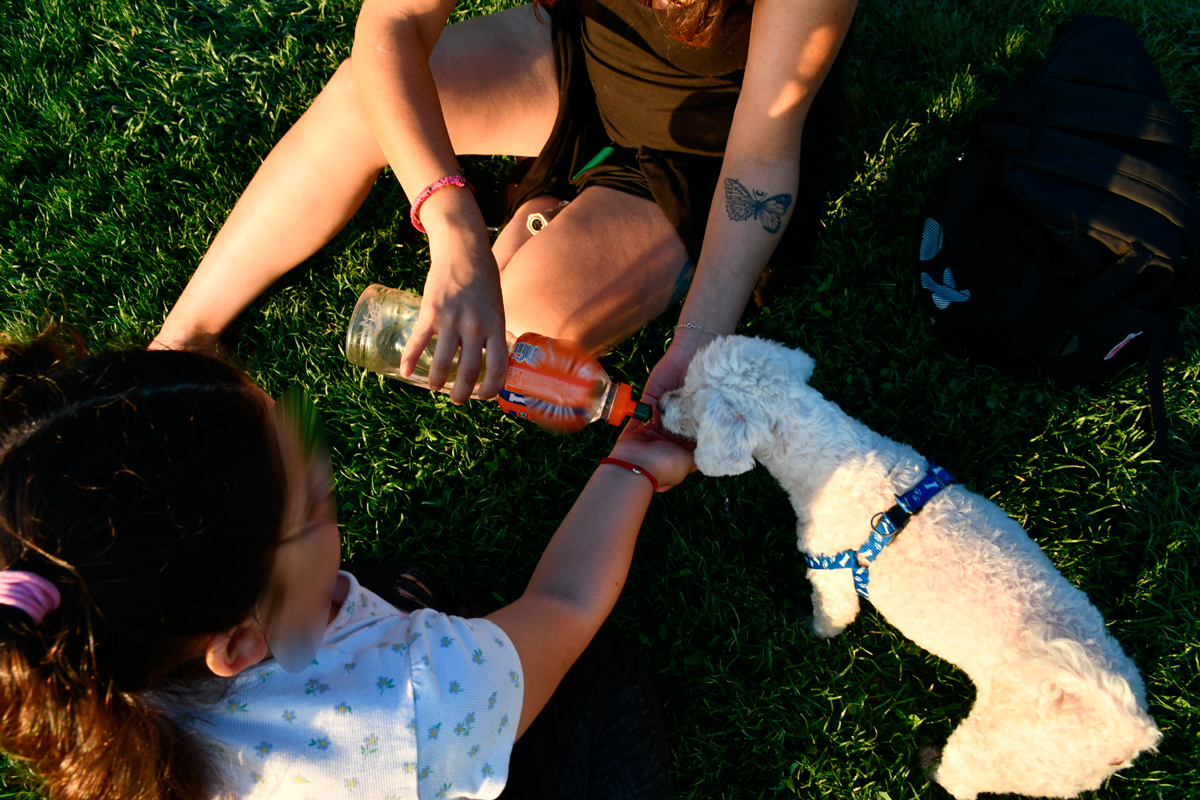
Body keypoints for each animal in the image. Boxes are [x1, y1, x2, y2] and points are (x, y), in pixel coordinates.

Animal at [662, 335, 1156, 796]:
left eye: (688, 396)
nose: (661, 402)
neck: (830, 452)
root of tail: (1128, 729)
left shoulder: (830, 575)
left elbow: (832, 617)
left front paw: (811, 630)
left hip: (995, 750)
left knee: (962, 780)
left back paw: (929, 765)